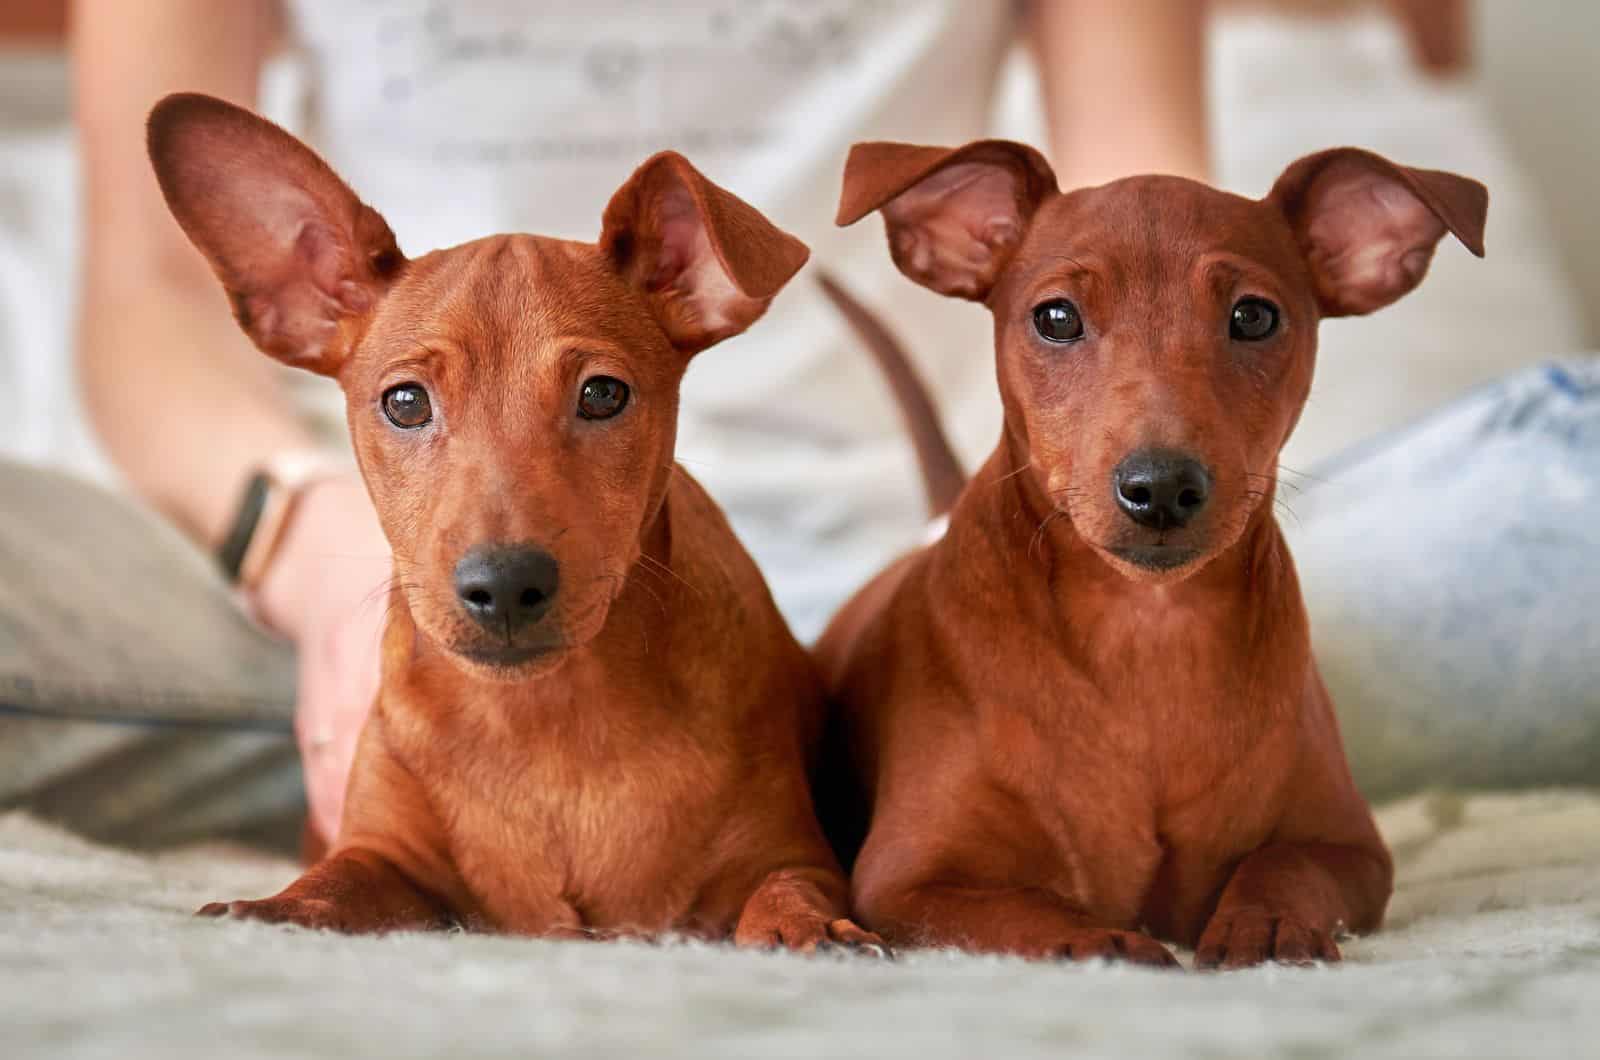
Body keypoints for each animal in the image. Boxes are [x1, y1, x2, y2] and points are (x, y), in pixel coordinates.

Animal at [148, 93, 876, 954]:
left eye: (603, 394)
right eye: (405, 402)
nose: (503, 585)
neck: (546, 717)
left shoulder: (787, 854)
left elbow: (786, 888)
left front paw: (808, 930)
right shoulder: (385, 855)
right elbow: (336, 878)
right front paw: (276, 908)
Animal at [812, 140, 1484, 973]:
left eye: (1254, 316)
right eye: (1056, 317)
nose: (1160, 485)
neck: (1148, 628)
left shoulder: (1351, 850)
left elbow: (1283, 864)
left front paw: (1264, 925)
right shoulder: (908, 881)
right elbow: (1023, 911)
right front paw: (1099, 942)